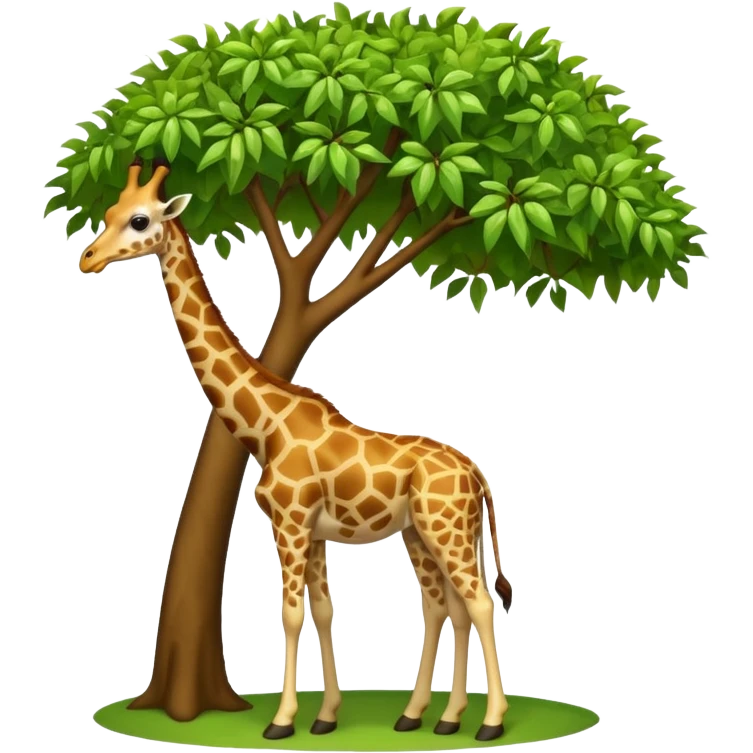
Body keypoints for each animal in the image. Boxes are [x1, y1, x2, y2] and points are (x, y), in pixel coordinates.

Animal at [78, 159, 514, 742]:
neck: (266, 427)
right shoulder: (312, 531)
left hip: (446, 529)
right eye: (108, 213)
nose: (88, 258)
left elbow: (290, 613)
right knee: (446, 606)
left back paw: (488, 722)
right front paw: (325, 716)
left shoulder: (289, 521)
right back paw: (431, 716)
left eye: (141, 220)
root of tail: (475, 471)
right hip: (422, 532)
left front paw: (282, 721)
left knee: (480, 603)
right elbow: (323, 609)